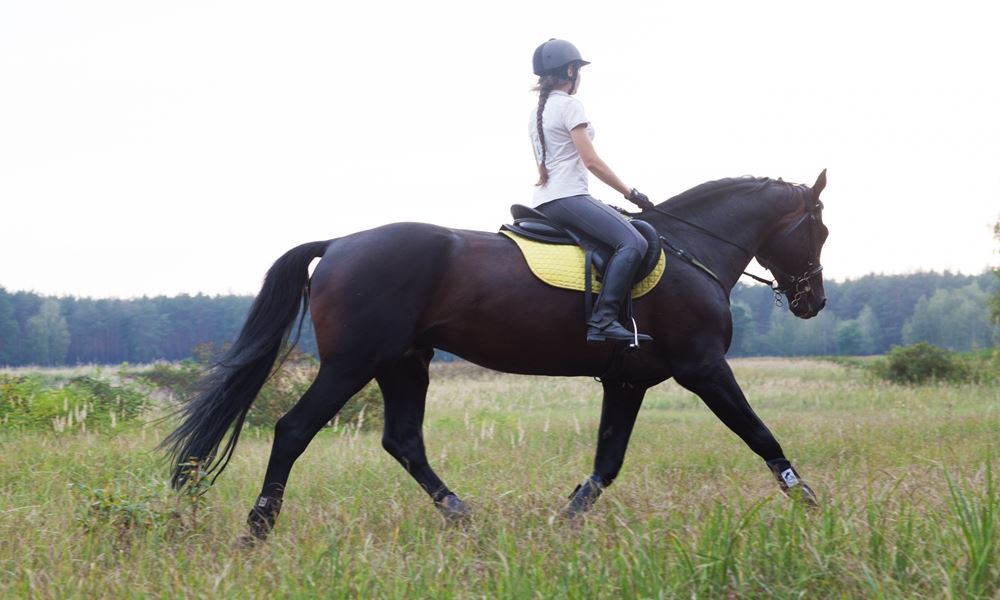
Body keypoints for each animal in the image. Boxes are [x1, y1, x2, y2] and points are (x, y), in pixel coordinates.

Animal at [163, 170, 829, 542]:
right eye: (819, 231)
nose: (813, 302)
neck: (691, 250)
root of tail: (341, 244)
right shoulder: (703, 368)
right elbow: (761, 436)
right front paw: (812, 507)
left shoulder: (627, 383)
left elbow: (606, 464)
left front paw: (562, 526)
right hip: (352, 365)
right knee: (293, 429)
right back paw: (258, 529)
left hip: (404, 363)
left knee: (403, 441)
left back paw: (464, 517)